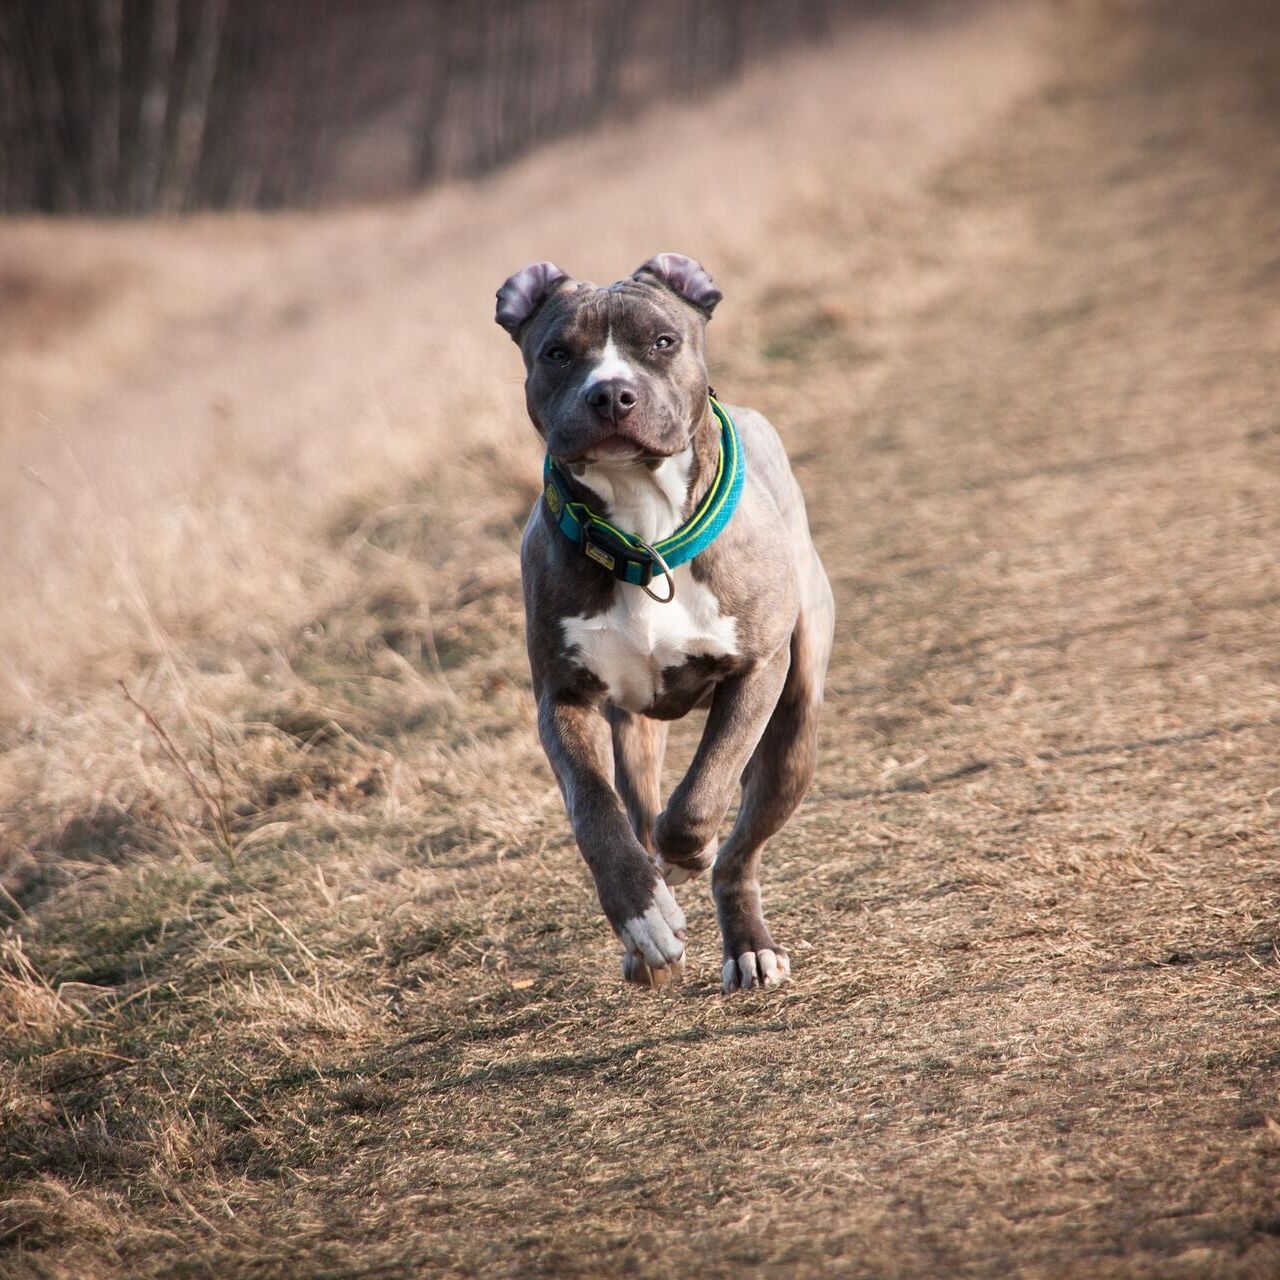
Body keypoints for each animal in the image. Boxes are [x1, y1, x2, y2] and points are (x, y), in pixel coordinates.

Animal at [494, 249, 834, 988]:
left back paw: (747, 944)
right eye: (557, 352)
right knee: (640, 805)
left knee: (738, 851)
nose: (611, 394)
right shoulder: (562, 699)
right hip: (635, 728)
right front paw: (642, 916)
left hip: (795, 730)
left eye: (662, 342)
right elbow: (595, 812)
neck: (642, 528)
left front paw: (686, 856)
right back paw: (649, 931)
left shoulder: (756, 673)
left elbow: (703, 794)